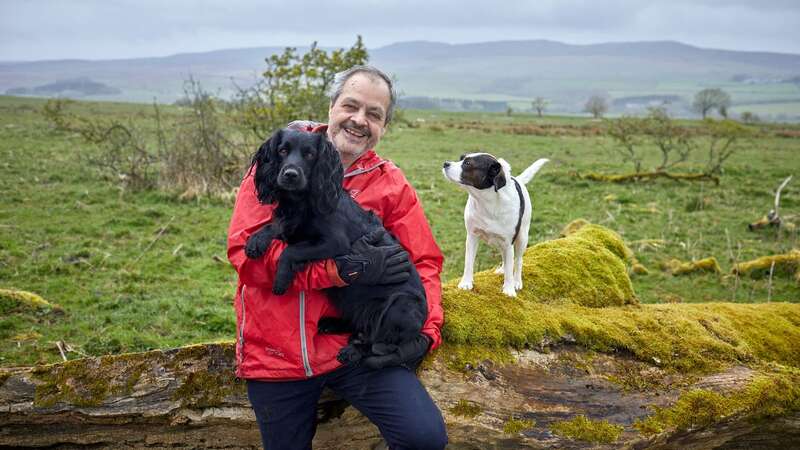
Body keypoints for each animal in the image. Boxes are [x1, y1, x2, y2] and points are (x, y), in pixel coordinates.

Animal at [444, 153, 552, 298]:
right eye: (461, 158)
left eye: (467, 163)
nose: (445, 163)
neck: (487, 202)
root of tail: (517, 180)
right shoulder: (472, 236)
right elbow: (469, 261)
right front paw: (466, 283)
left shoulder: (508, 242)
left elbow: (511, 265)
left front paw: (509, 289)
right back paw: (503, 269)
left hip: (522, 237)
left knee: (518, 260)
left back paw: (517, 281)